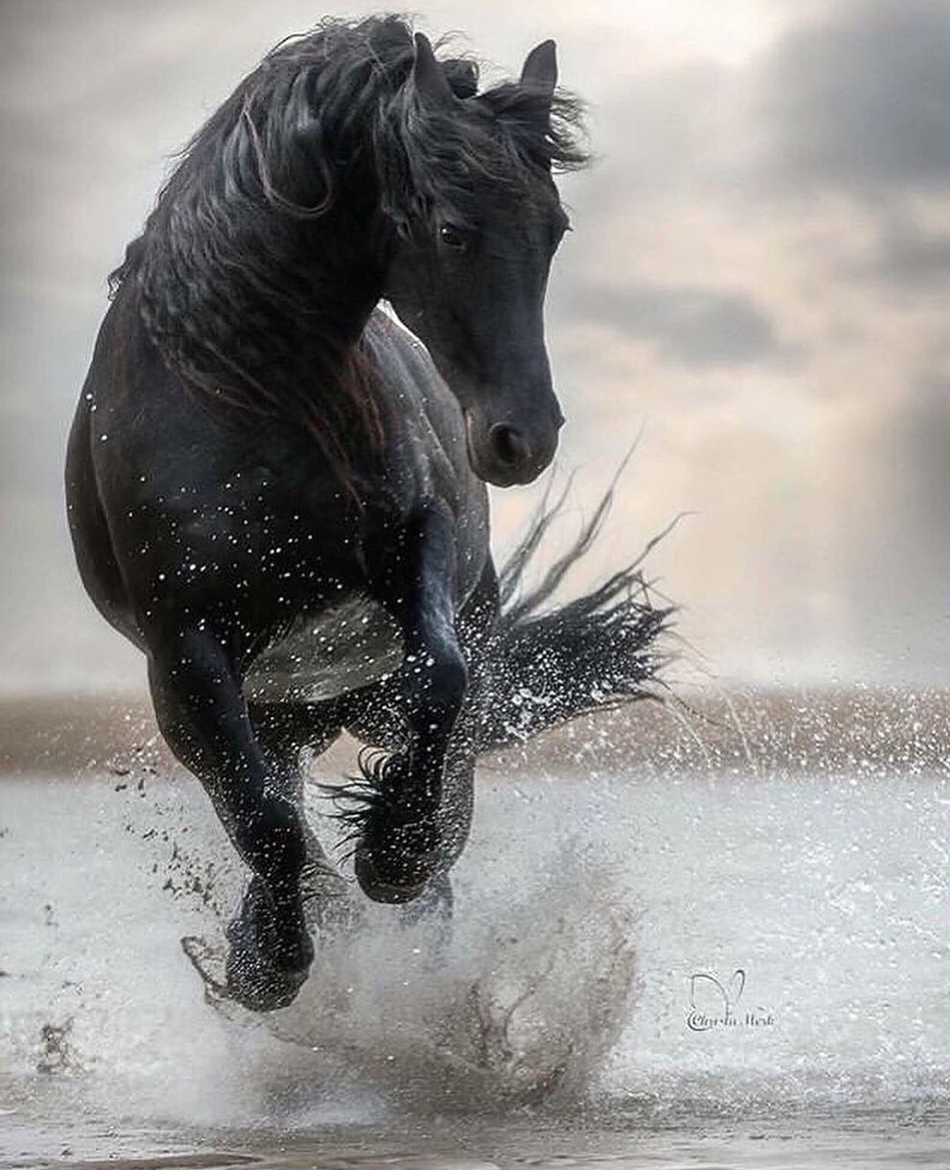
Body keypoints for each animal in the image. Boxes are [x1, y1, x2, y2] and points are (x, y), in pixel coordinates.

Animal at [65, 15, 667, 1013]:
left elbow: (443, 676)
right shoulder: (183, 650)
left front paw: (390, 852)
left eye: (554, 229)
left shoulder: (408, 550)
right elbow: (266, 821)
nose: (523, 438)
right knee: (271, 804)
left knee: (440, 827)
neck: (241, 391)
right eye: (453, 229)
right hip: (268, 712)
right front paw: (268, 960)